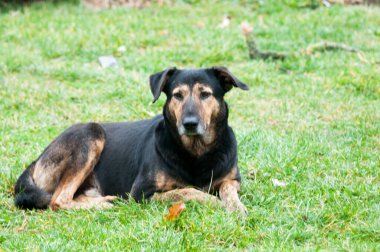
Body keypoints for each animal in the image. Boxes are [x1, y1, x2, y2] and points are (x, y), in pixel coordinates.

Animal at [13, 67, 248, 215]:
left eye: (205, 94)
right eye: (177, 95)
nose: (189, 124)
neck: (196, 152)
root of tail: (37, 160)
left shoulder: (232, 179)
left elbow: (227, 190)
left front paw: (236, 207)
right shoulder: (141, 193)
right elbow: (188, 191)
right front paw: (214, 202)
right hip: (91, 132)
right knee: (58, 200)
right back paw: (106, 204)